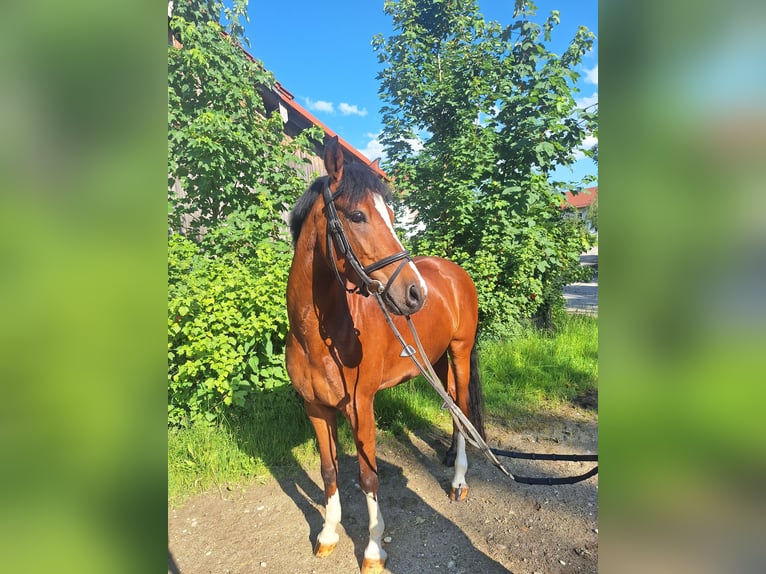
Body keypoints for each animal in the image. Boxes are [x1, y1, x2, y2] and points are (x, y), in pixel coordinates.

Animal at [288, 140, 486, 574]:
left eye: (393, 217)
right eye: (358, 215)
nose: (416, 293)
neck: (319, 337)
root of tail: (454, 273)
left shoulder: (361, 406)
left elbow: (368, 477)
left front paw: (374, 550)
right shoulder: (315, 409)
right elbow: (329, 470)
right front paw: (328, 535)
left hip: (460, 352)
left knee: (463, 408)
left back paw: (459, 481)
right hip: (436, 360)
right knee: (453, 408)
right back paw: (449, 458)